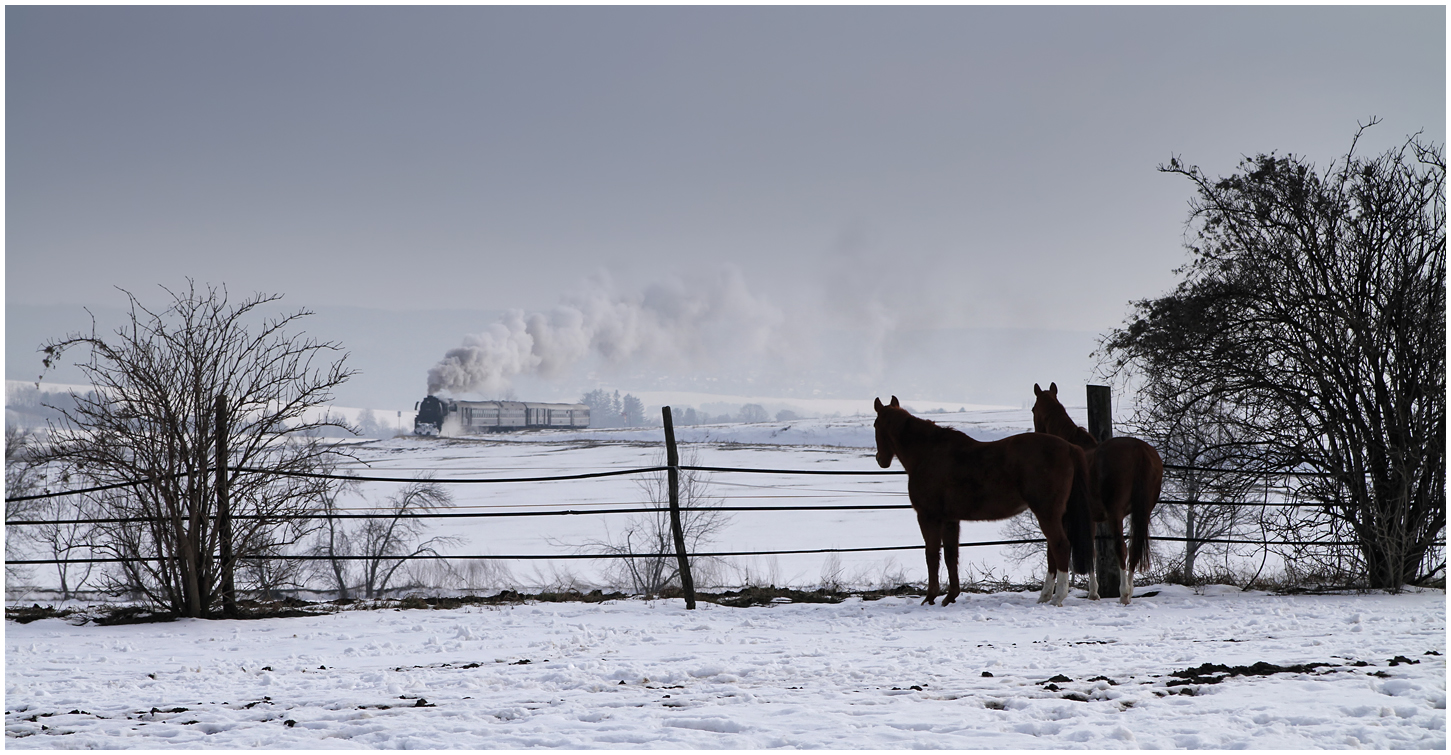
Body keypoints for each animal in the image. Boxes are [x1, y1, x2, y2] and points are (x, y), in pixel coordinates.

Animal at [870, 397, 1091, 604]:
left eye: (875, 425)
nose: (880, 459)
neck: (928, 453)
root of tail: (1069, 447)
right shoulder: (950, 520)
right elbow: (951, 555)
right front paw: (950, 596)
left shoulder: (928, 517)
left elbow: (931, 555)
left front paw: (930, 597)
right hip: (1059, 514)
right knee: (1053, 550)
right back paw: (1045, 595)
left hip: (1047, 512)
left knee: (1060, 545)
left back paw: (1058, 596)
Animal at [1033, 380, 1166, 604]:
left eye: (1034, 409)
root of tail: (1139, 450)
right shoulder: (1090, 518)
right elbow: (1092, 552)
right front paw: (1094, 593)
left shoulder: (1060, 517)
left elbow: (1053, 552)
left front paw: (1045, 594)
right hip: (1143, 511)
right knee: (1134, 549)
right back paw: (1129, 591)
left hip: (1116, 513)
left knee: (1122, 548)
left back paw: (1124, 594)